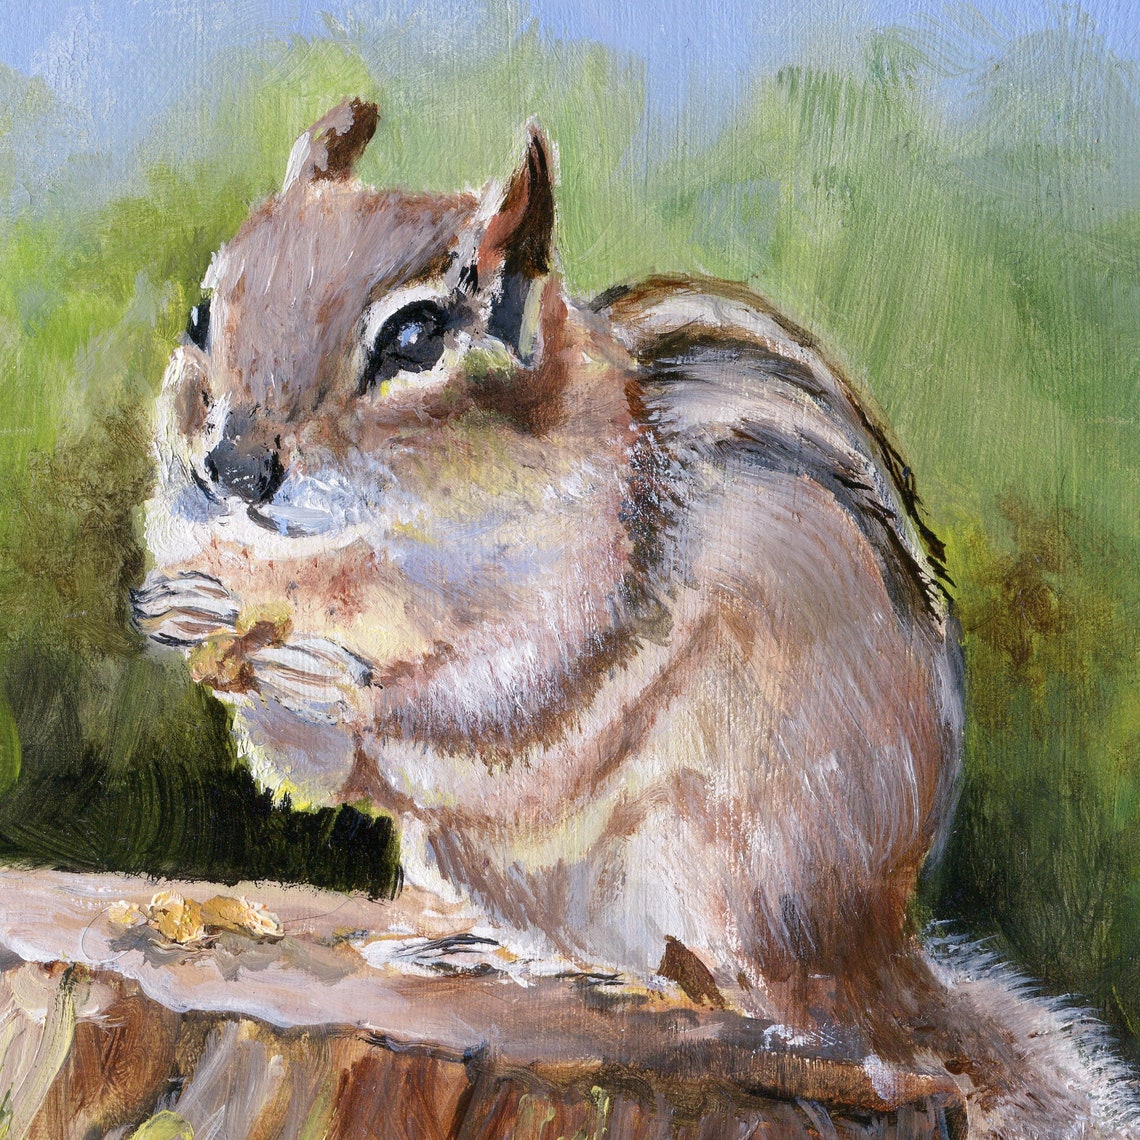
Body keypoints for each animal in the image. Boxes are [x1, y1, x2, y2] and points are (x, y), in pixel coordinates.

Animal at [132, 99, 1136, 1135]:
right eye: (200, 315)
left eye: (414, 338)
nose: (233, 468)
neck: (352, 557)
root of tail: (876, 958)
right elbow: (299, 752)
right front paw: (181, 610)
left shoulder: (590, 595)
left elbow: (501, 696)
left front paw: (335, 681)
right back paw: (464, 947)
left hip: (734, 863)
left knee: (748, 996)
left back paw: (619, 983)